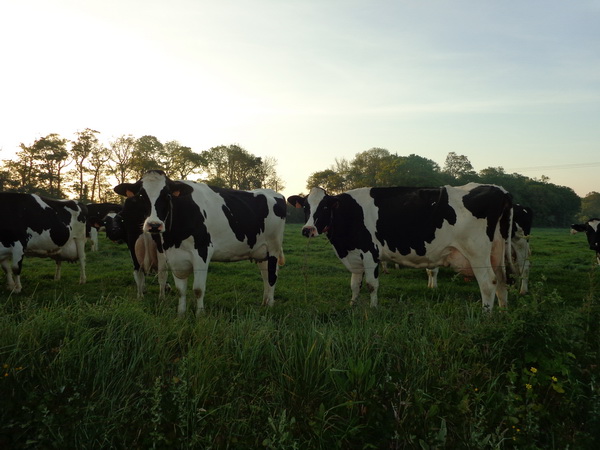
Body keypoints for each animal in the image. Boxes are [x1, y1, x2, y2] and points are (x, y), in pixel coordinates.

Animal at [116, 171, 290, 318]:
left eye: (167, 195)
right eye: (140, 195)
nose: (154, 225)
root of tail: (275, 193)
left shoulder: (202, 252)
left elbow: (198, 289)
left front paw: (200, 315)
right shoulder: (173, 256)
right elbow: (180, 290)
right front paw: (181, 314)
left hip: (273, 247)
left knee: (272, 276)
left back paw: (270, 306)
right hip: (261, 252)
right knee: (266, 275)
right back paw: (264, 302)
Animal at [286, 185, 510, 312]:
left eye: (324, 207)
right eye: (306, 207)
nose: (307, 230)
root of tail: (500, 191)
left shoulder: (370, 252)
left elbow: (371, 285)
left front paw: (373, 309)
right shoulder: (354, 255)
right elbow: (354, 285)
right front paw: (352, 305)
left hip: (477, 252)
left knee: (488, 283)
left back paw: (486, 313)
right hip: (497, 252)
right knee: (501, 280)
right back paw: (502, 310)